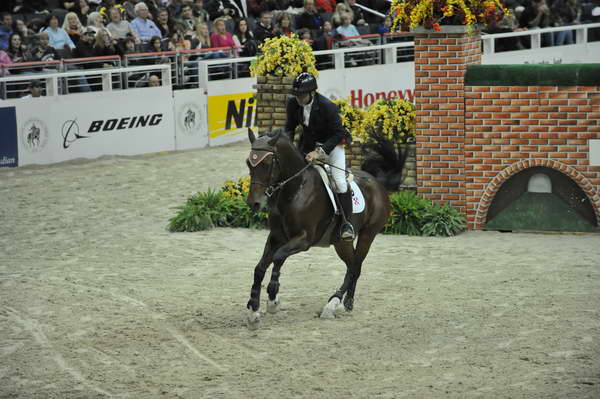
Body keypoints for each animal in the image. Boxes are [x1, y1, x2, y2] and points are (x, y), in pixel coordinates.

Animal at [244, 129, 390, 332]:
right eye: (248, 163)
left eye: (266, 163)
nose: (254, 203)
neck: (294, 189)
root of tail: (377, 183)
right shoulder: (276, 237)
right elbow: (260, 268)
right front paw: (253, 312)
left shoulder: (303, 239)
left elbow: (279, 257)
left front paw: (273, 299)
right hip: (340, 242)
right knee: (353, 266)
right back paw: (347, 303)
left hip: (367, 235)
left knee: (354, 267)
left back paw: (332, 304)